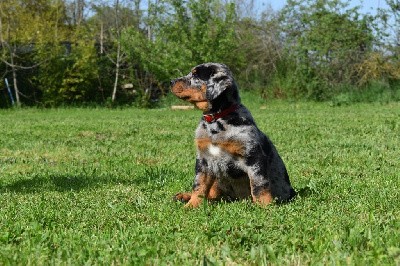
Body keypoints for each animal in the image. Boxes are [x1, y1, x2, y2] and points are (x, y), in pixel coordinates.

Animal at [170, 62, 296, 208]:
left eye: (195, 75)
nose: (171, 82)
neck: (216, 120)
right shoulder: (203, 159)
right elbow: (199, 185)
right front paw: (192, 205)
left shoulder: (253, 157)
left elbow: (259, 185)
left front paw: (265, 207)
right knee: (211, 193)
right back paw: (182, 196)